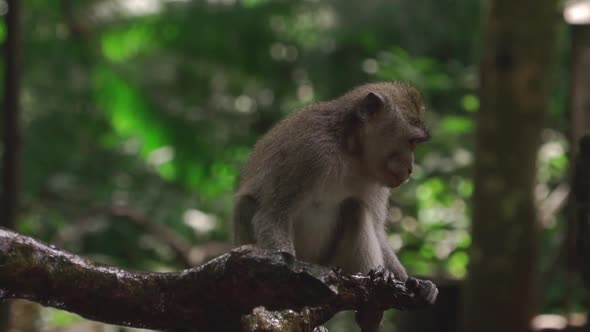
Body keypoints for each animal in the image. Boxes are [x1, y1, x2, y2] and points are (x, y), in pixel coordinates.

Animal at [234, 81, 442, 330]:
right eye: (411, 141)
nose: (410, 168)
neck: (350, 150)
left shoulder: (377, 181)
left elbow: (376, 228)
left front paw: (412, 282)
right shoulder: (309, 151)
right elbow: (273, 216)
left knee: (356, 208)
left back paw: (373, 305)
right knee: (246, 205)